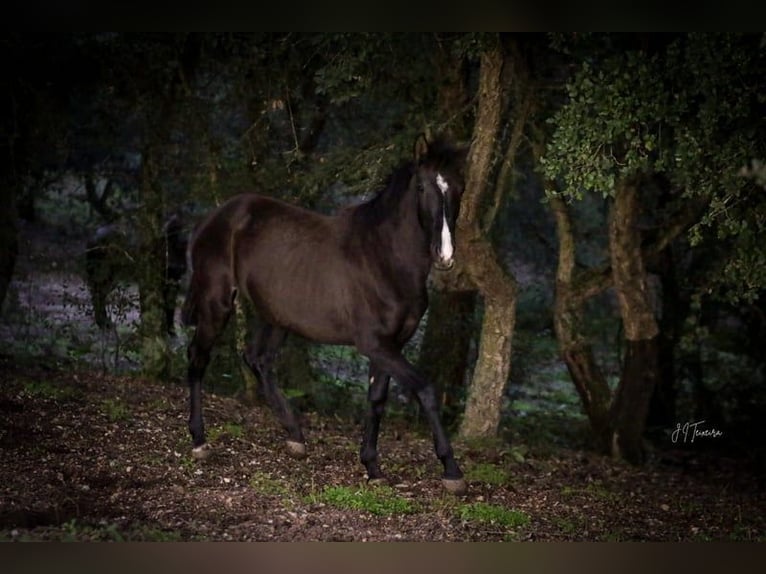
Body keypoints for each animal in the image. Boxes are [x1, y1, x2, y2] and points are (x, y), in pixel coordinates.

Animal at [184, 136, 472, 496]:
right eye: (421, 186)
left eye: (459, 187)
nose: (444, 255)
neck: (384, 257)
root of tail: (211, 219)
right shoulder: (375, 344)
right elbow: (426, 390)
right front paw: (452, 471)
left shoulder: (391, 345)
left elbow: (377, 399)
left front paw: (372, 466)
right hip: (216, 303)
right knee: (199, 358)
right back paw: (199, 441)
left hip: (276, 317)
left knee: (258, 359)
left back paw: (295, 438)